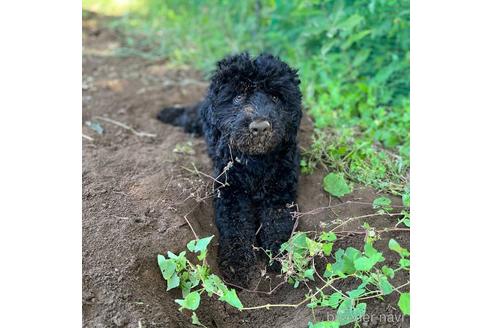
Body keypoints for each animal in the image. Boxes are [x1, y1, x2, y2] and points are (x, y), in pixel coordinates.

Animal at [158, 53, 304, 284]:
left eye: (275, 97)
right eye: (238, 97)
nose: (260, 127)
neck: (255, 161)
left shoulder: (280, 191)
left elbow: (279, 222)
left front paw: (282, 256)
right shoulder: (230, 192)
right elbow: (235, 226)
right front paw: (238, 265)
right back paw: (167, 113)